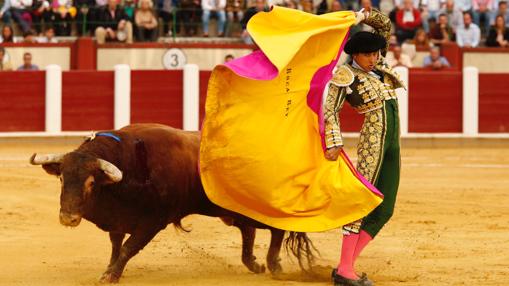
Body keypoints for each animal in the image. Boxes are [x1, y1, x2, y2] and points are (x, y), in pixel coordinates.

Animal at [29, 124, 316, 282]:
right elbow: (115, 247)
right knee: (248, 231)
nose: (67, 218)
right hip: (232, 211)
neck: (129, 167)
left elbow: (127, 248)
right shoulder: (119, 219)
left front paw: (111, 275)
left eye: (90, 182)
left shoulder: (152, 222)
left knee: (276, 229)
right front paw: (110, 269)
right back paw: (255, 264)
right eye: (62, 178)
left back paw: (274, 266)